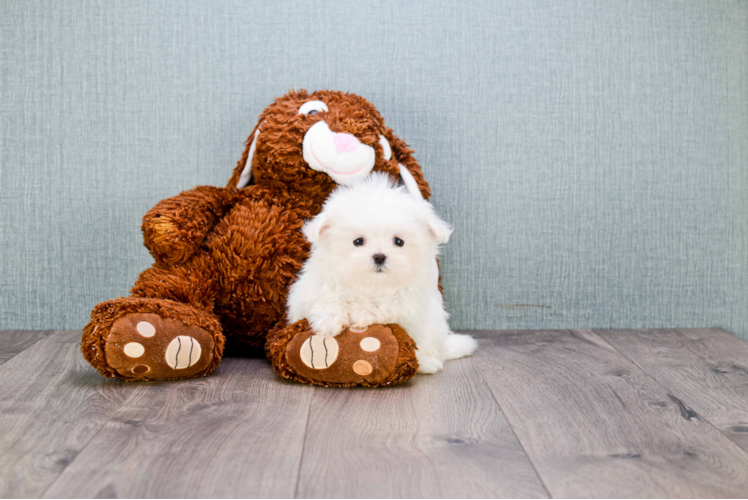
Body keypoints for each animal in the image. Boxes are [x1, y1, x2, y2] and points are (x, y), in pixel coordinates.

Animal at [286, 172, 474, 372]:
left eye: (399, 241)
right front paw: (329, 319)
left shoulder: (409, 303)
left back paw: (427, 363)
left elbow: (386, 307)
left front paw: (360, 312)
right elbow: (325, 297)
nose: (379, 256)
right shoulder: (309, 291)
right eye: (358, 241)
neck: (370, 285)